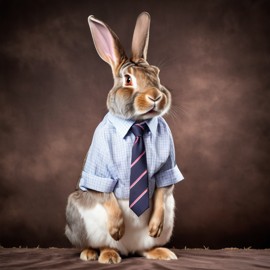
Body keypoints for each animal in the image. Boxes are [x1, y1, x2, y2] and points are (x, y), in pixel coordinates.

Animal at [65, 11, 184, 262]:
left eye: (157, 74)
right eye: (128, 79)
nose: (156, 96)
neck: (137, 124)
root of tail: (128, 250)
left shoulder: (168, 165)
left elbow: (162, 189)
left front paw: (154, 226)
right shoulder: (99, 168)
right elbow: (106, 194)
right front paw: (117, 229)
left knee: (144, 248)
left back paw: (162, 252)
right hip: (78, 216)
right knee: (99, 244)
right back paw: (102, 254)